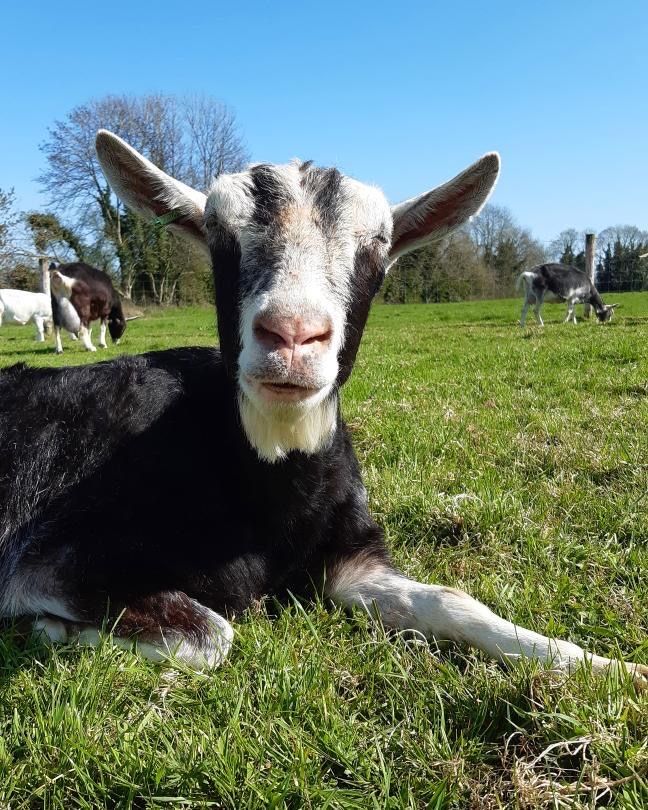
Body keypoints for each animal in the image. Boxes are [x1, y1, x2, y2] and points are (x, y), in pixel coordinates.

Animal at [0, 129, 644, 686]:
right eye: (218, 236)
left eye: (377, 248)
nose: (292, 334)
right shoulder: (48, 561)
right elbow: (213, 635)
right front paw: (51, 627)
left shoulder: (350, 558)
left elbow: (454, 601)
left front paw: (612, 670)